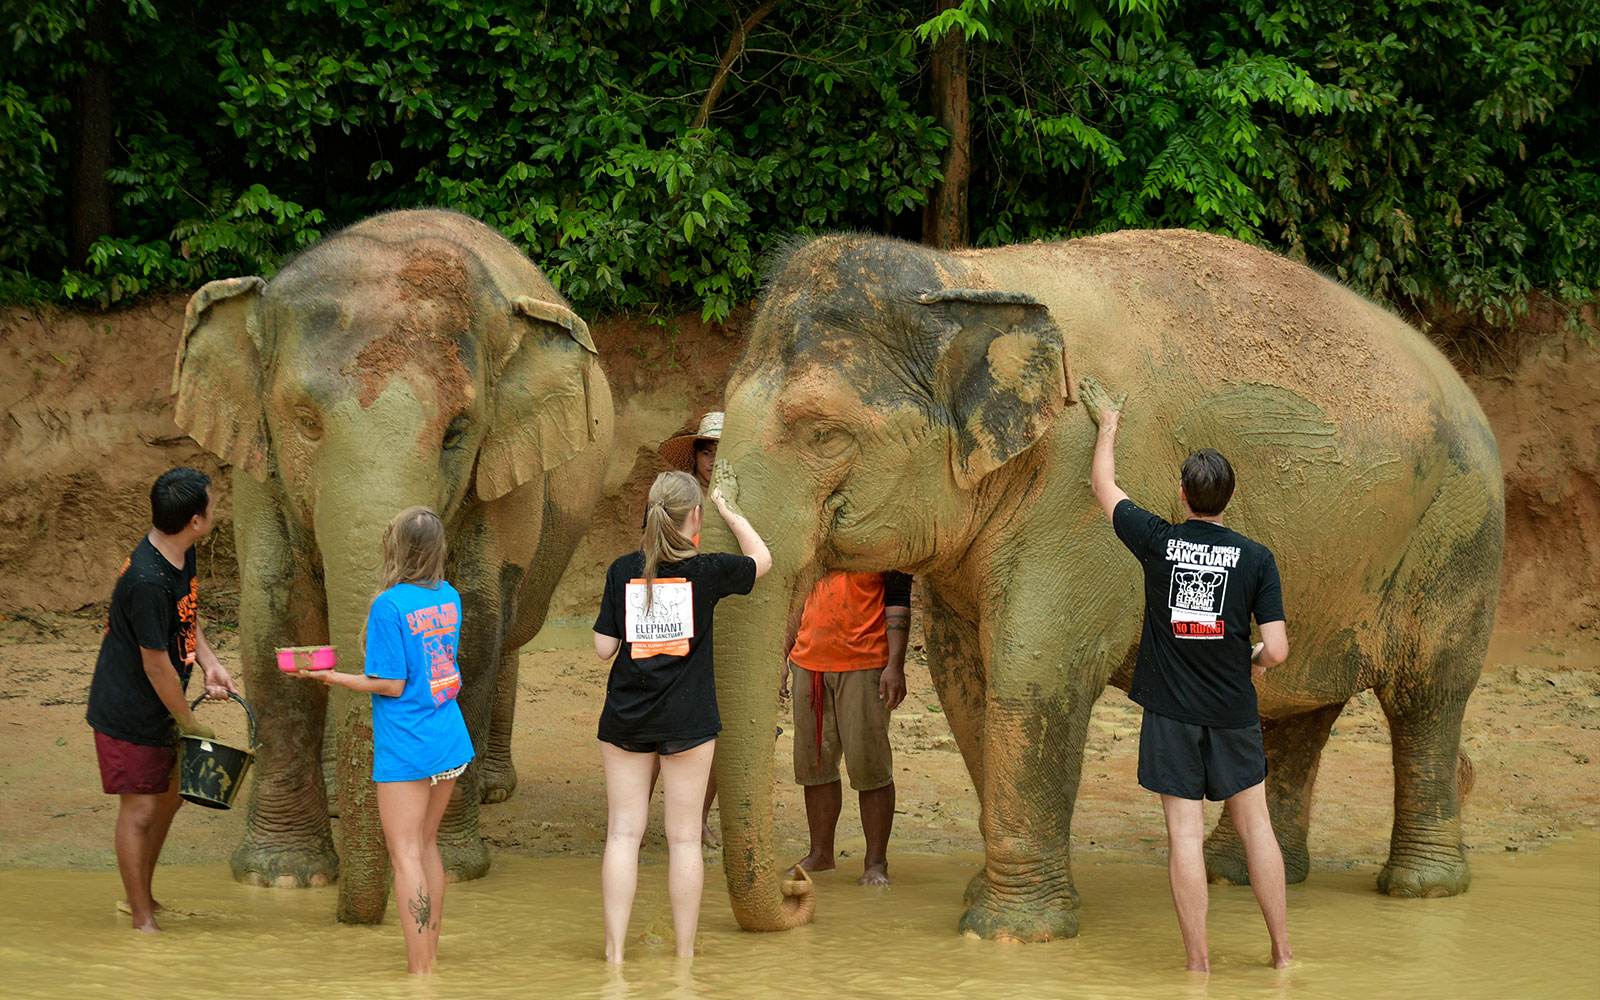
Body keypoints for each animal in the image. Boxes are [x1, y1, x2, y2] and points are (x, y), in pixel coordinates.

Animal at [173, 208, 614, 923]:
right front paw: (283, 879)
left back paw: (491, 789)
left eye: (456, 431)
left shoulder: (501, 472)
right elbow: (276, 618)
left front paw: (452, 868)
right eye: (303, 420)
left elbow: (475, 625)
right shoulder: (258, 469)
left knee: (511, 631)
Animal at [702, 229, 1502, 941]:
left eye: (824, 434)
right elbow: (968, 685)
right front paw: (985, 900)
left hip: (1458, 536)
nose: (798, 888)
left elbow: (1033, 674)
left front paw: (1011, 935)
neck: (966, 274)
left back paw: (1420, 888)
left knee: (1427, 695)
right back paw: (1240, 875)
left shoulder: (1074, 498)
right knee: (1296, 708)